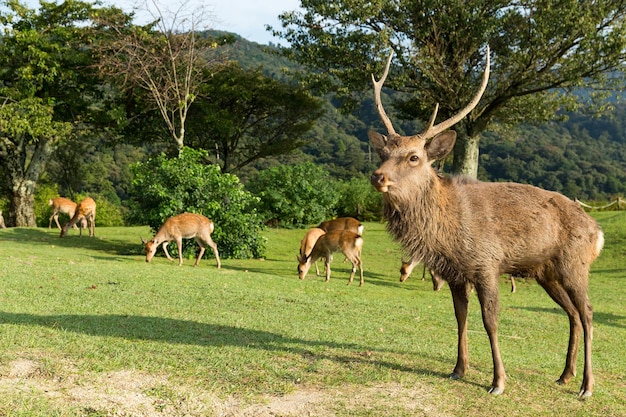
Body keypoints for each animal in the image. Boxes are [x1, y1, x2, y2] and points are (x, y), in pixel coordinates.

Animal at [368, 48, 604, 396]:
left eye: (414, 157)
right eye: (383, 152)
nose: (378, 176)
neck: (447, 233)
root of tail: (597, 231)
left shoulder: (486, 264)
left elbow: (489, 321)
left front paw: (498, 381)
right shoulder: (454, 272)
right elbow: (460, 316)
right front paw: (458, 369)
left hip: (575, 263)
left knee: (587, 312)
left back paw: (586, 385)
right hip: (546, 272)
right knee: (572, 313)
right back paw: (565, 375)